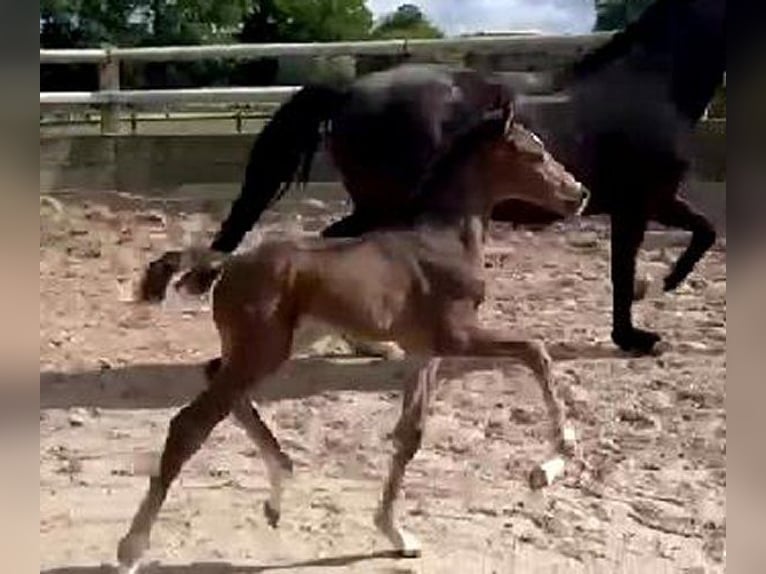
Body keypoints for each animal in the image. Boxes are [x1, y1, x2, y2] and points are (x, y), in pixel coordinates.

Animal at [118, 107, 588, 572]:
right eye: (533, 154)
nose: (580, 193)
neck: (443, 240)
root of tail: (228, 263)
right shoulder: (456, 337)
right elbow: (535, 351)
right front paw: (552, 462)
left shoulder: (424, 351)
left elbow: (410, 435)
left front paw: (396, 535)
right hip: (264, 350)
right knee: (190, 424)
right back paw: (131, 550)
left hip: (278, 344)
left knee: (216, 377)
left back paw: (279, 489)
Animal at [188, 1, 728, 356]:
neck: (650, 86)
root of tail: (350, 91)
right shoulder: (638, 202)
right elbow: (628, 265)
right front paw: (637, 332)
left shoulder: (657, 198)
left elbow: (704, 230)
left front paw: (662, 287)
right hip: (385, 204)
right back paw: (368, 344)